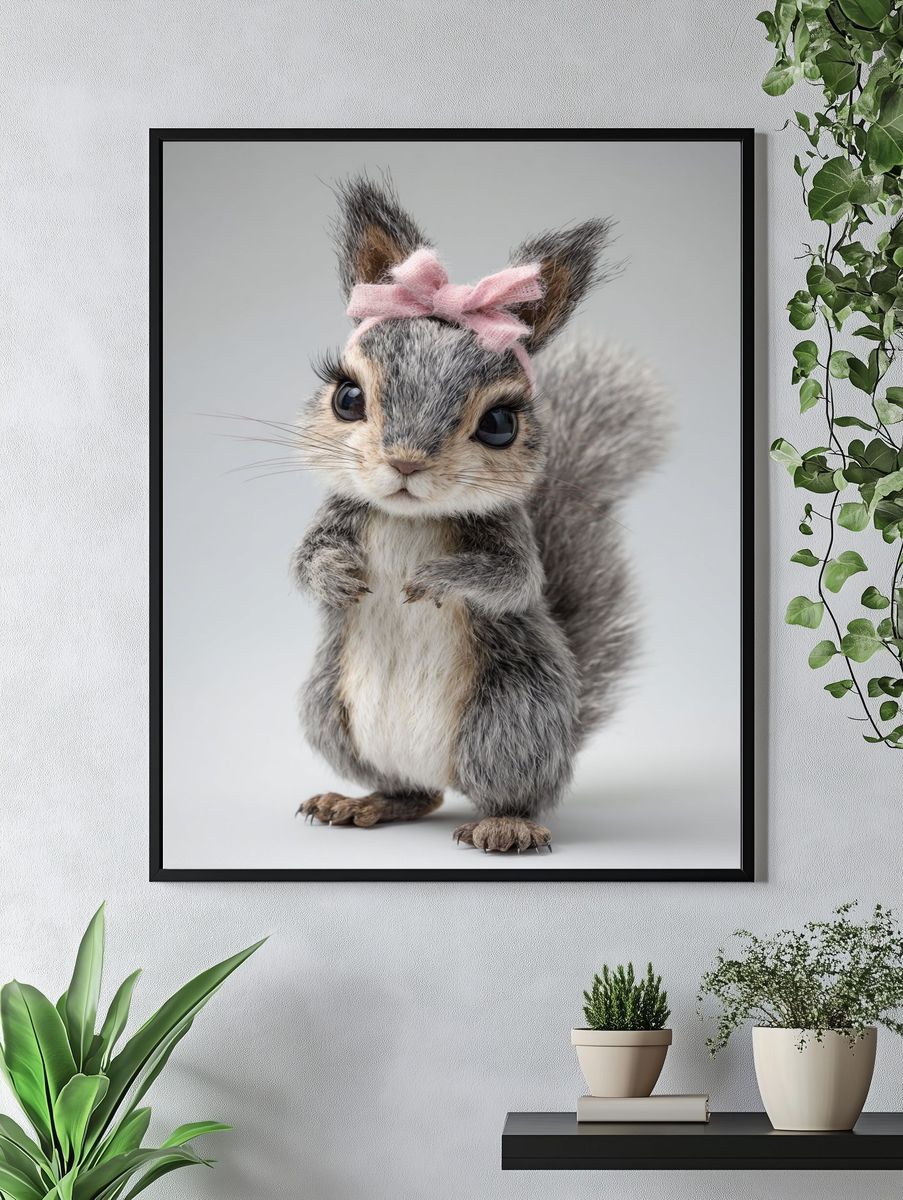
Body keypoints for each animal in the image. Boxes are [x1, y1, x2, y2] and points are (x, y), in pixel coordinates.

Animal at [293, 177, 667, 852]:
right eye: (347, 397)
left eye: (500, 424)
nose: (405, 462)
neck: (409, 518)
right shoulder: (338, 514)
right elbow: (303, 561)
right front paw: (337, 574)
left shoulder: (511, 537)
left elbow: (514, 581)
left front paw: (434, 580)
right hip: (330, 713)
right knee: (414, 793)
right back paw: (361, 802)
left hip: (511, 718)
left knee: (510, 791)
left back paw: (506, 824)